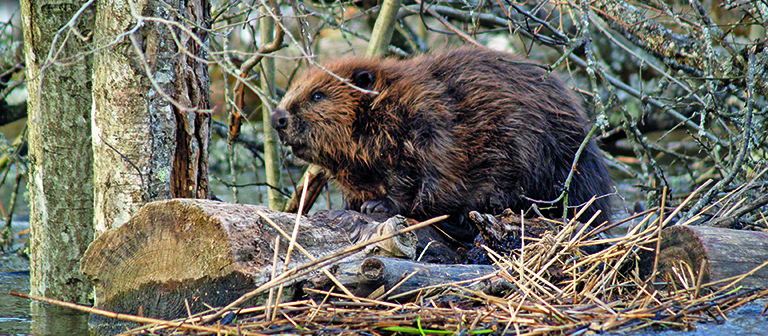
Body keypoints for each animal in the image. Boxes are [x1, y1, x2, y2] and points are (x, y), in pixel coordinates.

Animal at [270, 47, 612, 242]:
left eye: (317, 95)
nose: (277, 118)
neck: (388, 103)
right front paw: (349, 205)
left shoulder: (429, 125)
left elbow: (419, 177)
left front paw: (377, 206)